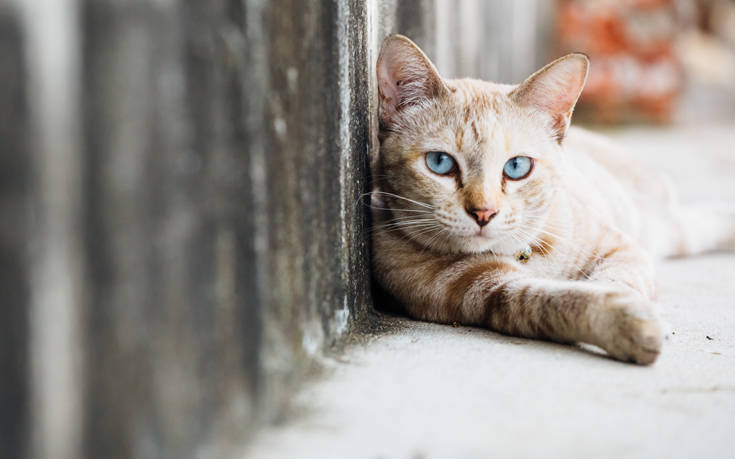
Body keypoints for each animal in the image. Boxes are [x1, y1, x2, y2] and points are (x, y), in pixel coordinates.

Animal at [374, 34, 735, 366]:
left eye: (517, 167)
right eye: (440, 163)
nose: (484, 213)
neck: (522, 253)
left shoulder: (621, 248)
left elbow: (616, 281)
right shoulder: (492, 292)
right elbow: (554, 300)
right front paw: (628, 323)